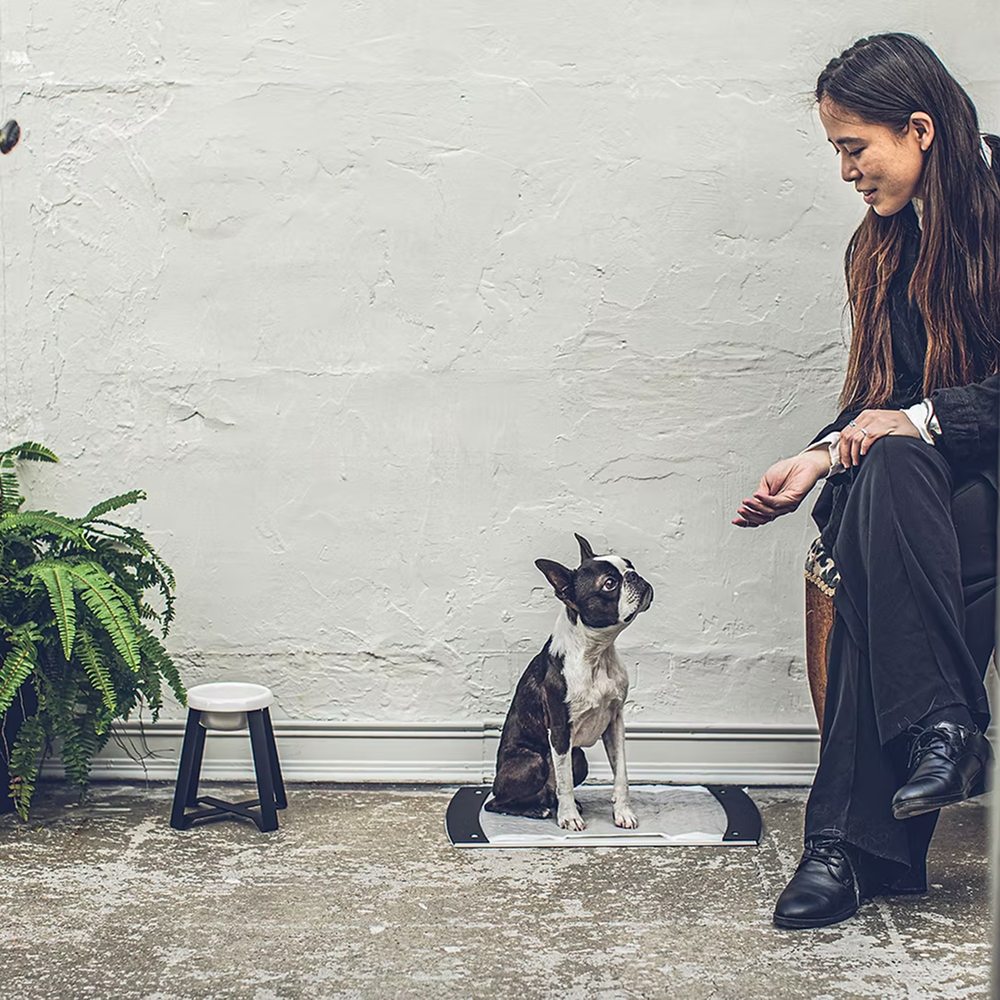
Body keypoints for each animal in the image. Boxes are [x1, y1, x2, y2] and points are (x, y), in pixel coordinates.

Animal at [485, 534, 653, 830]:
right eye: (609, 584)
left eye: (629, 565)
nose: (634, 575)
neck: (596, 654)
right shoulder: (560, 729)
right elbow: (565, 784)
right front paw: (569, 817)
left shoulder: (615, 723)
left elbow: (621, 773)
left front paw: (622, 812)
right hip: (533, 760)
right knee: (498, 802)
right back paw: (537, 809)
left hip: (579, 757)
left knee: (552, 788)